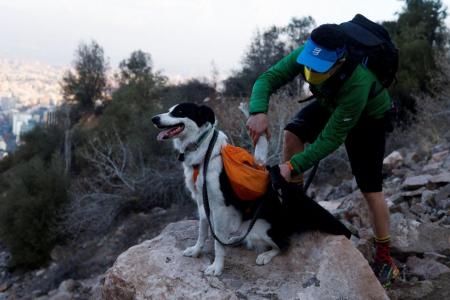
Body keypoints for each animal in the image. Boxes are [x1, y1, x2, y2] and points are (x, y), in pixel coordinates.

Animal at [153, 102, 350, 276]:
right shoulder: (202, 204)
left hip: (261, 228)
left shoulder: (219, 207)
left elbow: (217, 243)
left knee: (284, 244)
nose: (154, 119)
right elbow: (202, 233)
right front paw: (195, 251)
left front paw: (217, 267)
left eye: (179, 111)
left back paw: (265, 255)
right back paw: (233, 239)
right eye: (169, 110)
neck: (203, 151)